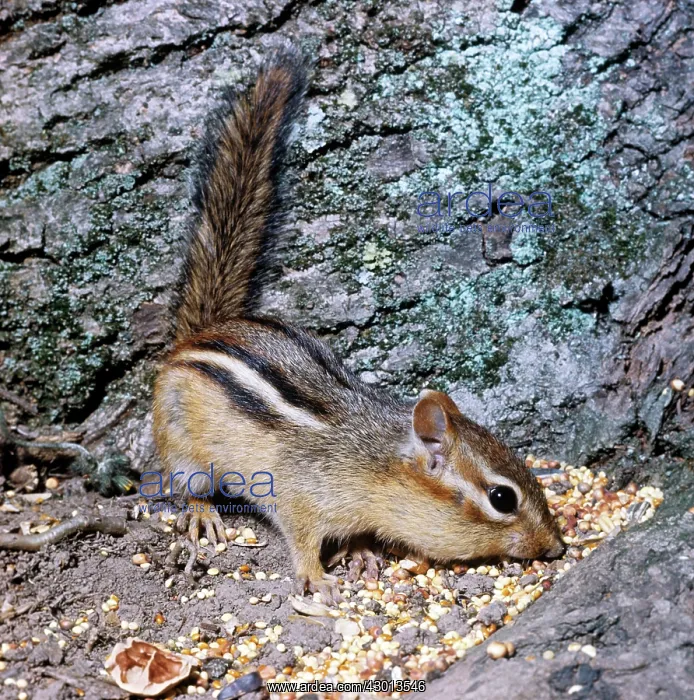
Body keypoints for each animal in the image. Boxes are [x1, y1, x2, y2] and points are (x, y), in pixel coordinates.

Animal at [152, 46, 565, 604]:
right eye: (503, 497)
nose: (557, 546)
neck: (375, 463)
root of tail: (202, 331)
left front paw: (364, 552)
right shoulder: (299, 495)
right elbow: (300, 537)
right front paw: (317, 577)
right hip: (182, 445)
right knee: (186, 485)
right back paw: (201, 514)